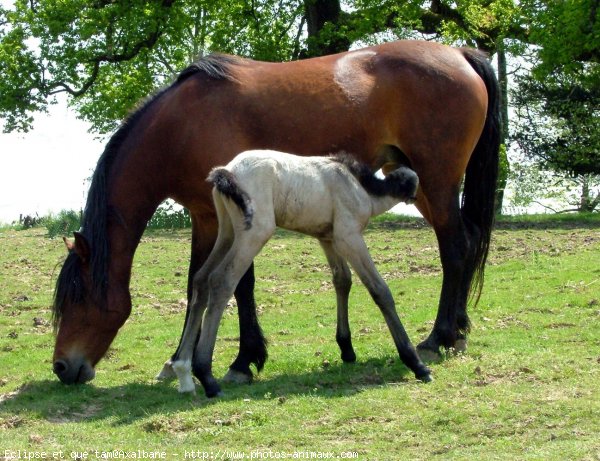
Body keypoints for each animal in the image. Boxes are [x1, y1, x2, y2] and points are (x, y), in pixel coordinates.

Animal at [52, 40, 502, 388]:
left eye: (78, 298)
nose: (61, 367)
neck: (180, 126)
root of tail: (461, 54)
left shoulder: (239, 219)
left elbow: (238, 286)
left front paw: (241, 361)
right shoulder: (207, 217)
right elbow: (198, 283)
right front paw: (180, 361)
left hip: (437, 183)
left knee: (454, 248)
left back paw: (439, 338)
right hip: (419, 184)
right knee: (466, 242)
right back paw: (459, 330)